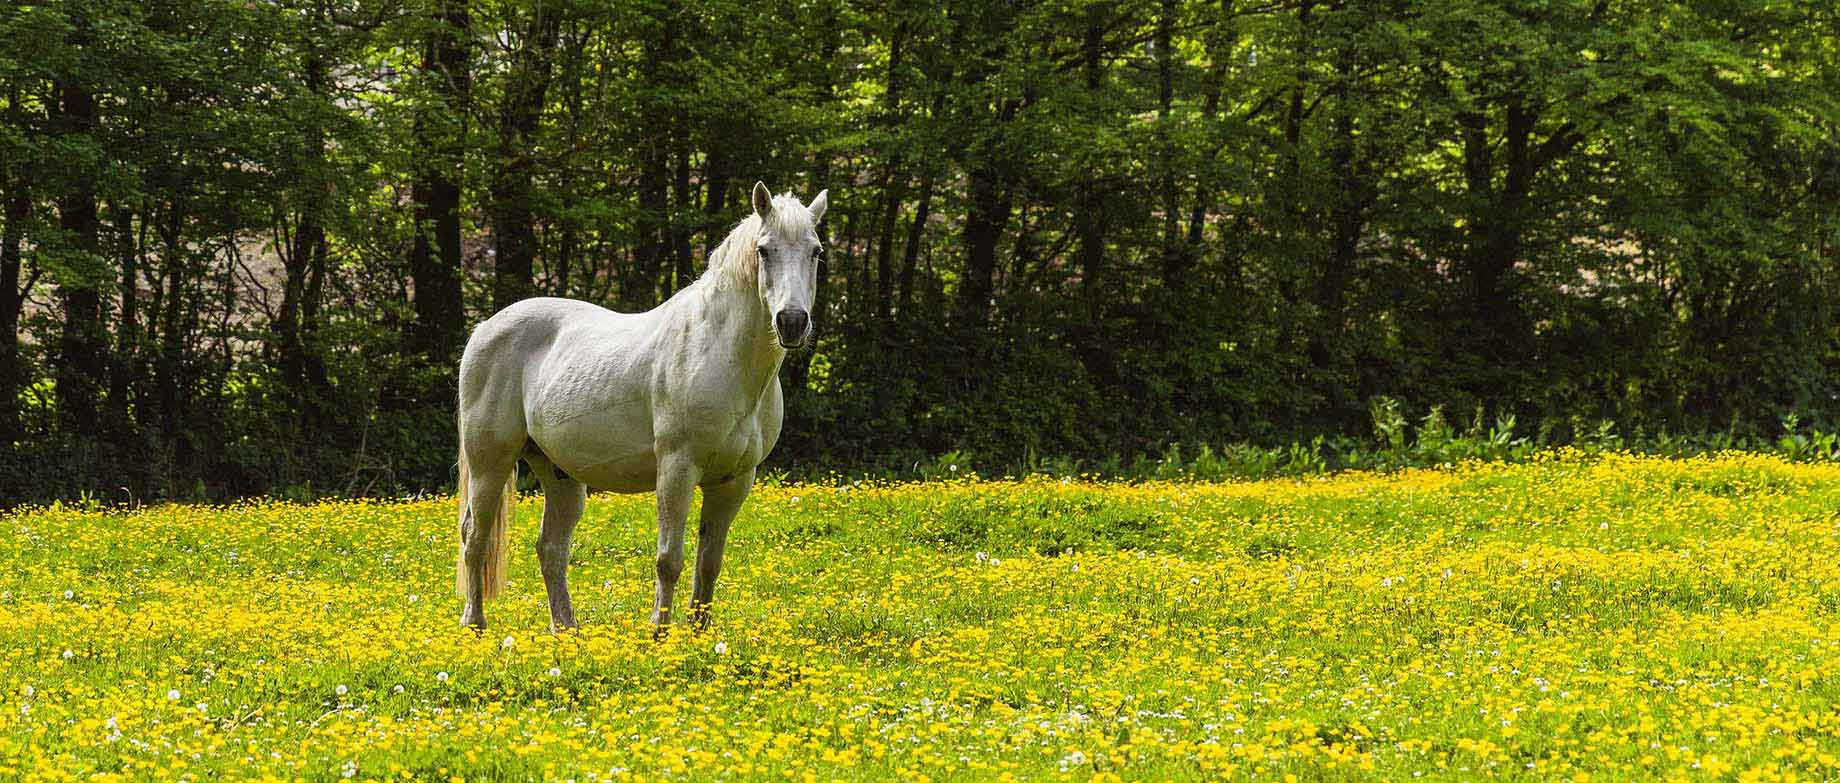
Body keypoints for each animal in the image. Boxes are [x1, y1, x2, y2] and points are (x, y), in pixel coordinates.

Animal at [453, 182, 826, 631]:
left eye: (816, 251)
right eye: (764, 250)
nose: (792, 322)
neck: (720, 354)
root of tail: (484, 329)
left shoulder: (733, 481)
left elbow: (708, 565)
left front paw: (699, 637)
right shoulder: (677, 469)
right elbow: (669, 560)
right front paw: (659, 634)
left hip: (559, 474)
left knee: (551, 548)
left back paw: (567, 631)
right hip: (490, 464)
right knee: (474, 538)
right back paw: (474, 624)